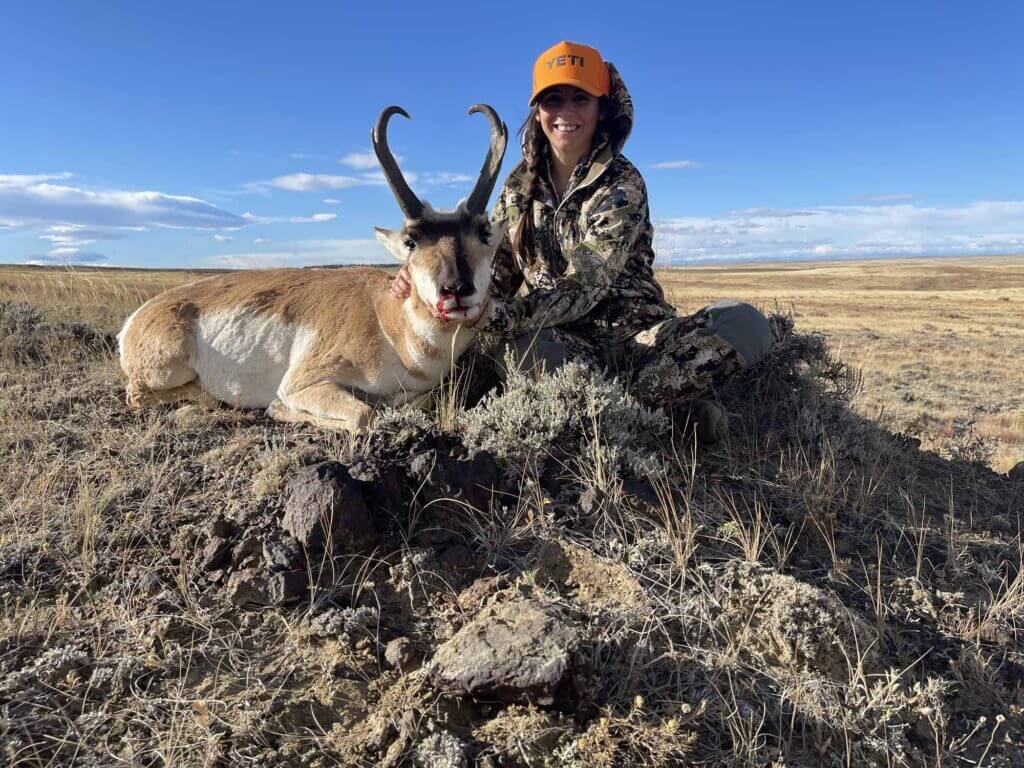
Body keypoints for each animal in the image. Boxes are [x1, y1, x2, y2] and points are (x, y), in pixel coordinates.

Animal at [118, 104, 508, 432]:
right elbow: (364, 414)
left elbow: (418, 401)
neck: (386, 321)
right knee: (139, 395)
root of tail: (136, 318)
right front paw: (277, 408)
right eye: (411, 241)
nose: (455, 290)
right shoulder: (304, 383)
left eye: (485, 233)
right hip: (168, 370)